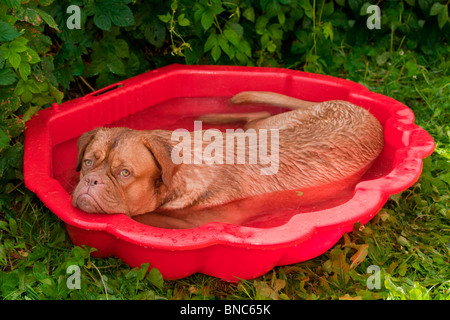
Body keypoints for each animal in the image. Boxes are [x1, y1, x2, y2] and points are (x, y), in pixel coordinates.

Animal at [70, 91, 384, 229]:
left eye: (124, 173)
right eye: (88, 162)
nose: (91, 180)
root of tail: (361, 109)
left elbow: (145, 216)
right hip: (271, 125)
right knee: (256, 117)